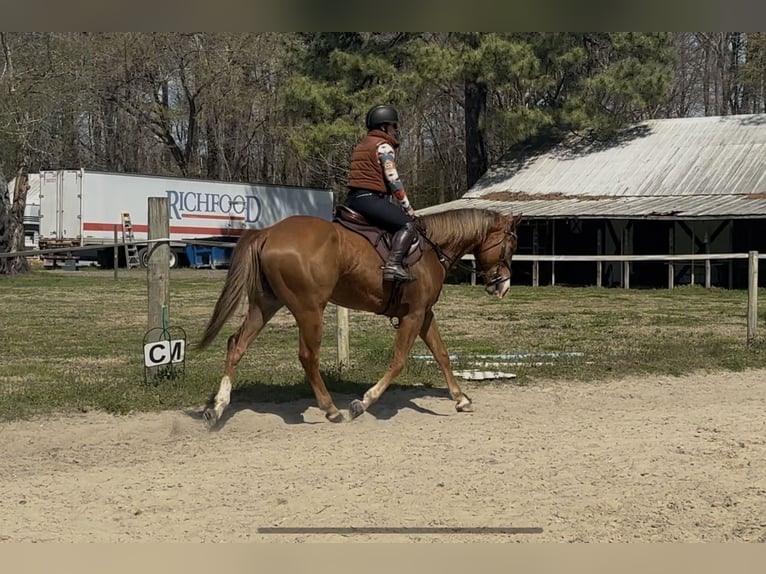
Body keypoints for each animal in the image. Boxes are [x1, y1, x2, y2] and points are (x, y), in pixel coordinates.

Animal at [197, 207, 522, 426]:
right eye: (512, 243)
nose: (503, 285)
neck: (432, 249)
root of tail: (269, 232)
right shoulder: (414, 315)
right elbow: (399, 360)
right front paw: (364, 401)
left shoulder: (425, 314)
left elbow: (442, 355)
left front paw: (461, 399)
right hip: (309, 309)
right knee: (308, 356)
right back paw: (331, 409)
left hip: (265, 304)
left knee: (237, 344)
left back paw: (218, 406)